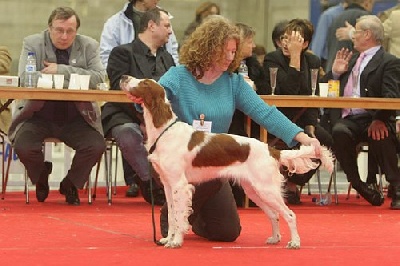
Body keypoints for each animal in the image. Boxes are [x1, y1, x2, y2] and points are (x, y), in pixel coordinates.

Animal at [120, 76, 332, 249]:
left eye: (144, 83)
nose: (124, 77)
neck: (164, 130)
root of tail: (272, 150)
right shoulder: (168, 185)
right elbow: (172, 215)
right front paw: (167, 239)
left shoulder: (180, 185)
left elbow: (179, 216)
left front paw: (176, 241)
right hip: (254, 190)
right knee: (274, 214)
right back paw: (274, 238)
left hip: (266, 189)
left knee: (289, 214)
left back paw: (294, 242)